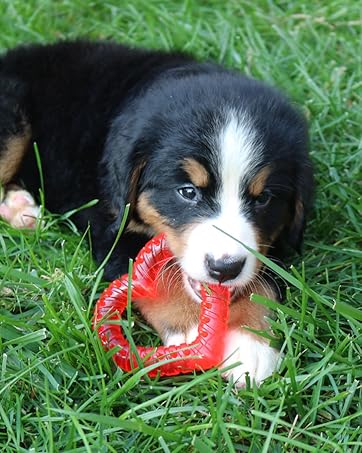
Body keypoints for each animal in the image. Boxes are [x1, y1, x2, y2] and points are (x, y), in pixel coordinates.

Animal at [0, 40, 312, 384]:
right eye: (187, 192)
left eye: (263, 199)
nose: (224, 268)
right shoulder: (112, 227)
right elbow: (158, 279)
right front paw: (191, 328)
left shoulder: (269, 243)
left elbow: (263, 283)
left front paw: (251, 343)